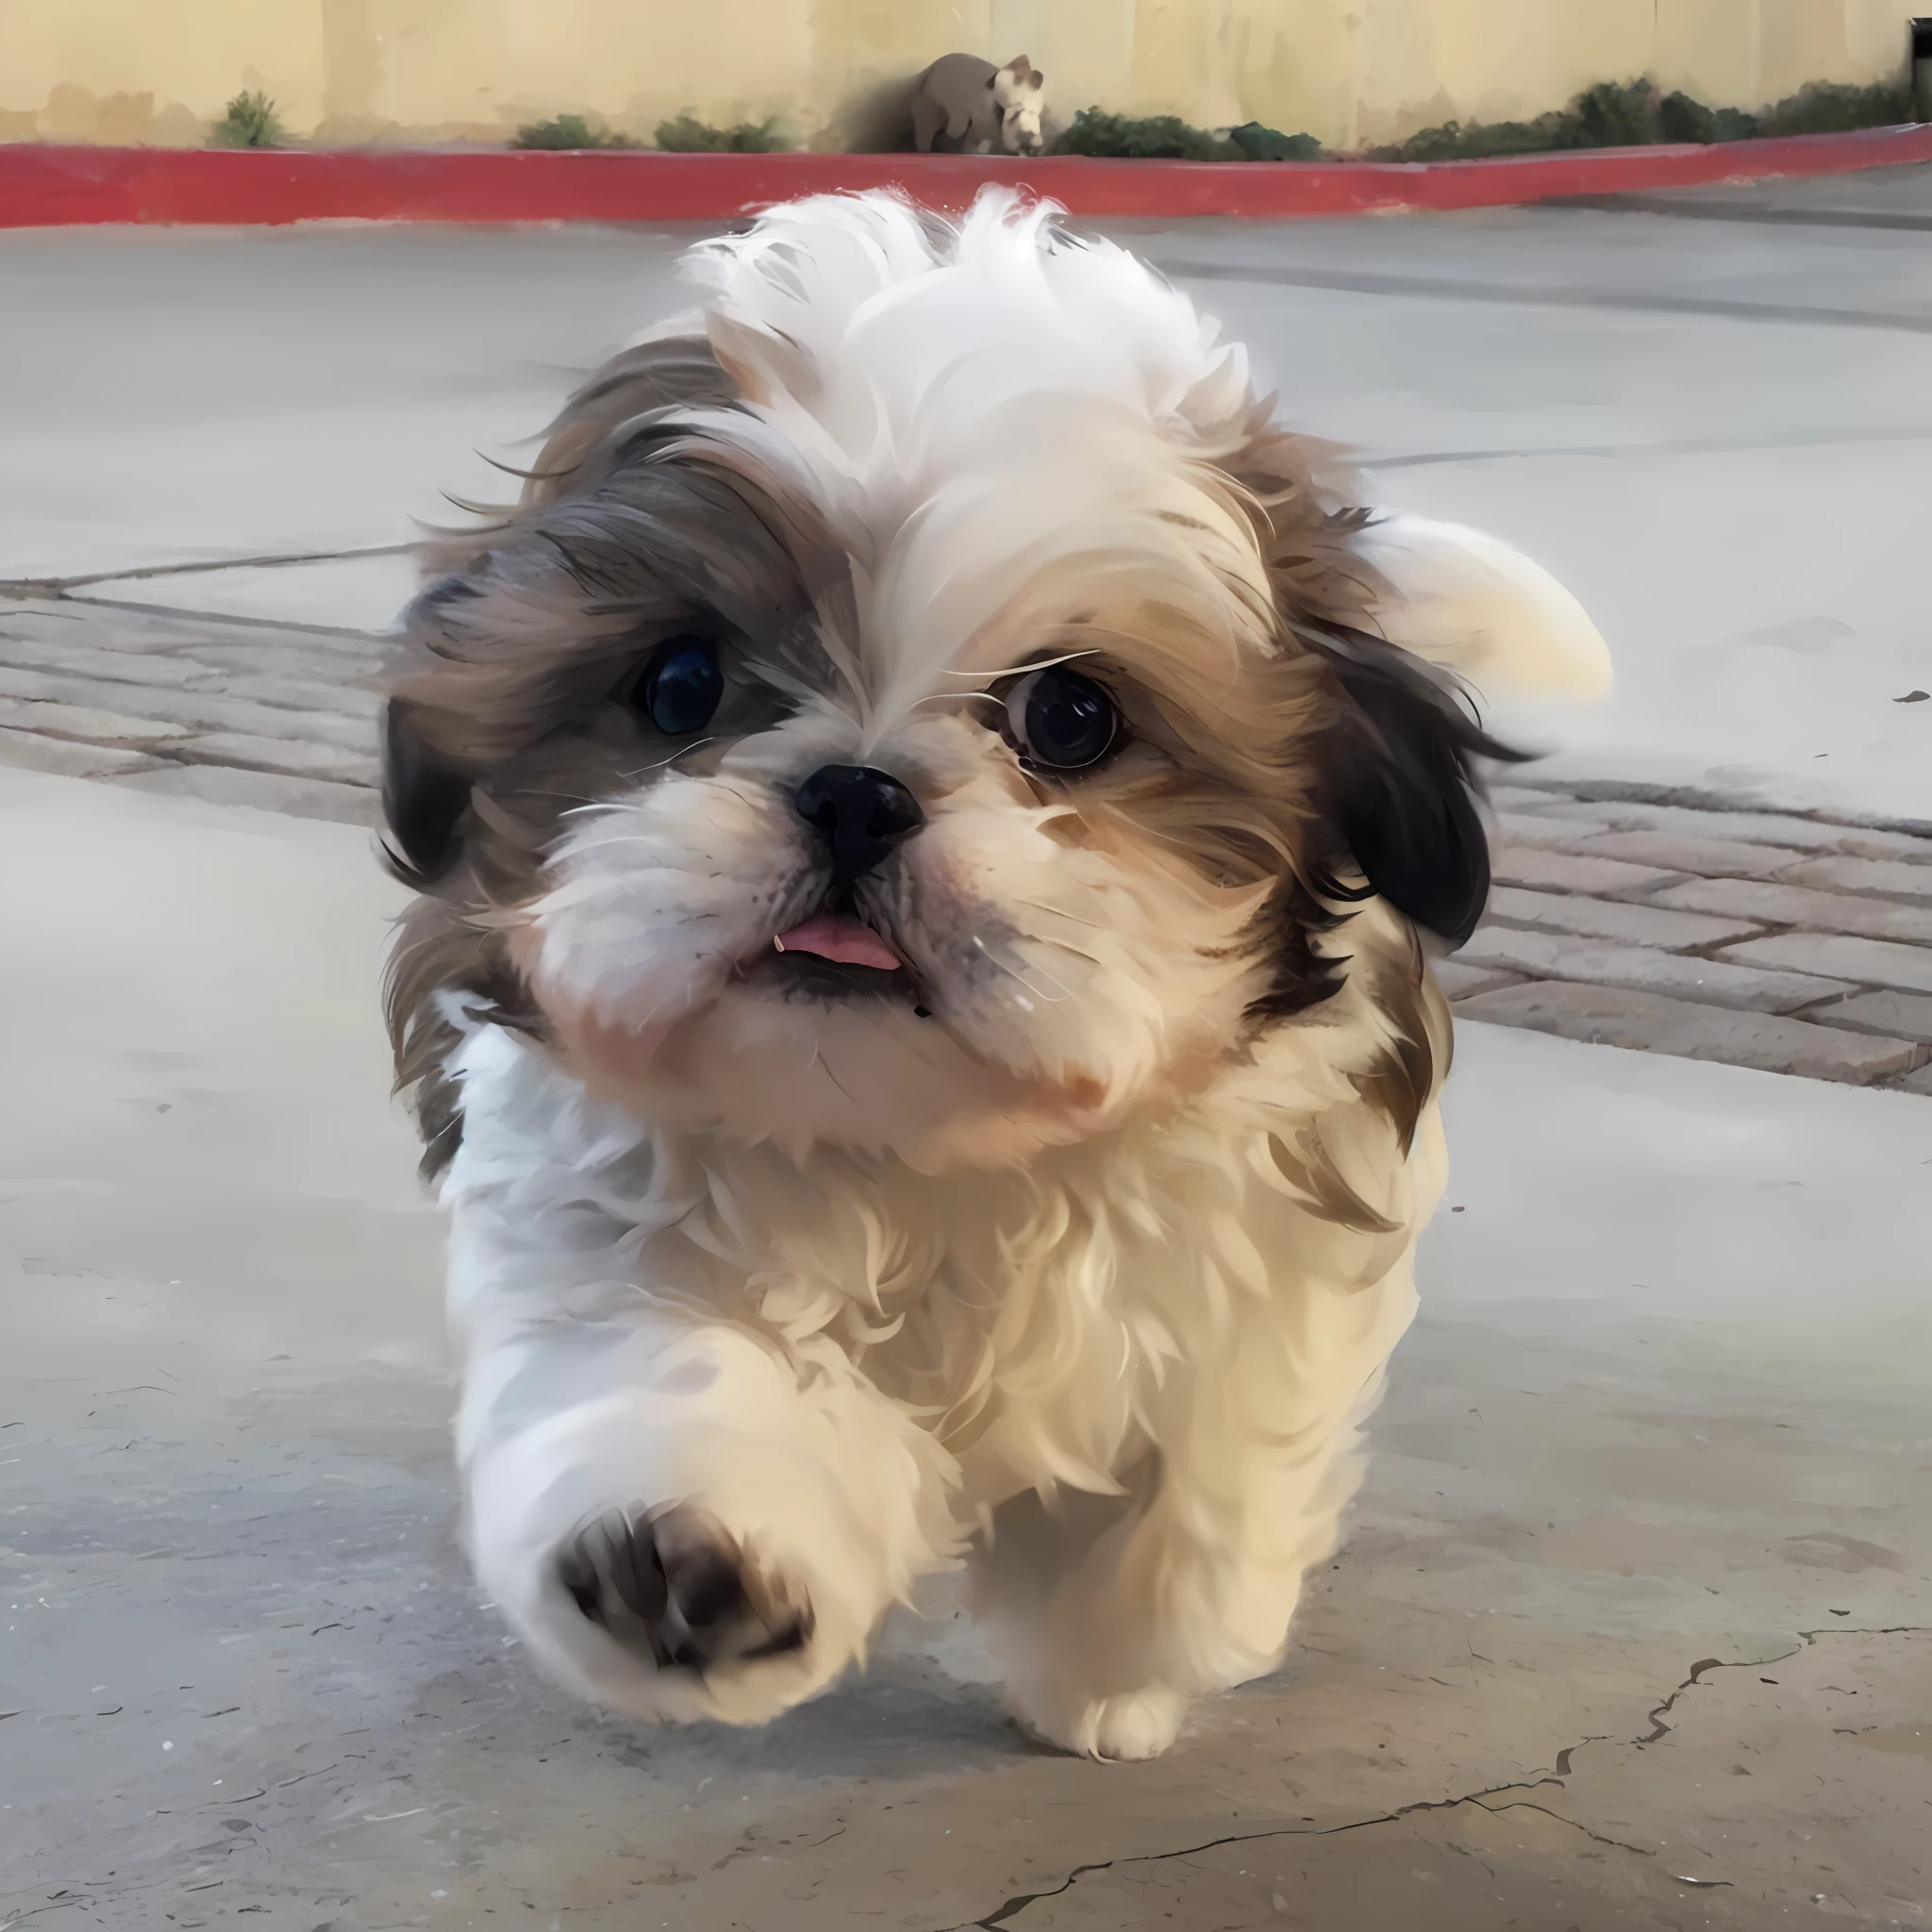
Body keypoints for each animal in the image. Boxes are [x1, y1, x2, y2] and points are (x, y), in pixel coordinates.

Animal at [384, 188, 1607, 1761]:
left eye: (1071, 717)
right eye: (679, 686)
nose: (855, 794)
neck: (921, 1150)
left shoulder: (1273, 1258)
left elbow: (1195, 1493)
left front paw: (1116, 1669)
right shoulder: (598, 1205)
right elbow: (670, 1378)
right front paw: (688, 1563)